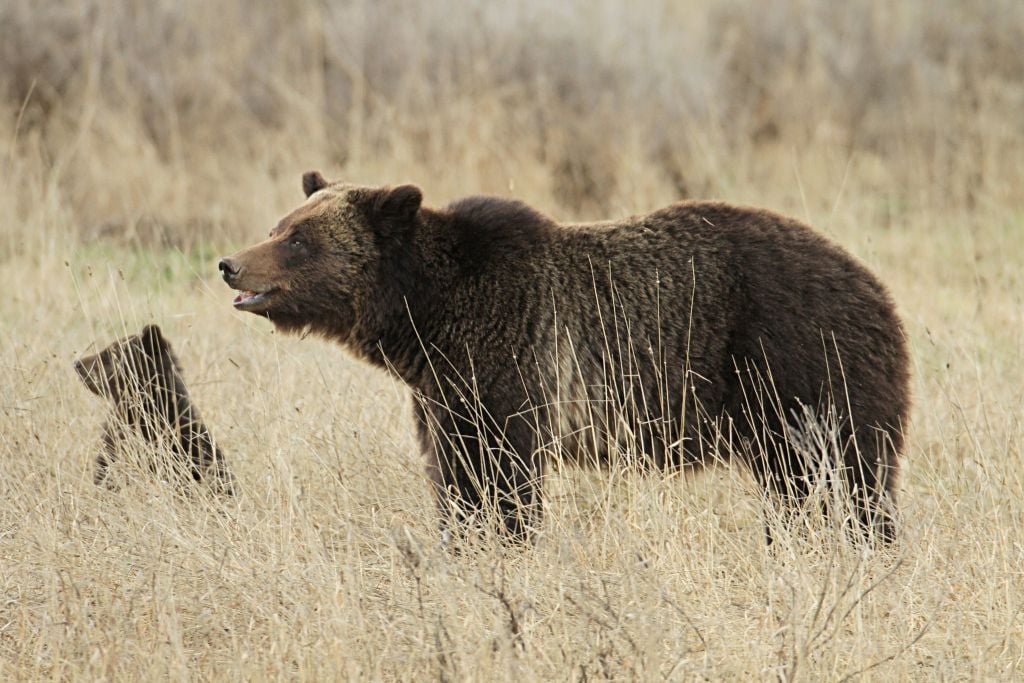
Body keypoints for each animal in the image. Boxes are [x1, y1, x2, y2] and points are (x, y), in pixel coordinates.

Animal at [220, 175, 909, 544]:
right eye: (280, 225)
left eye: (298, 240)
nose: (230, 263)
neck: (428, 317)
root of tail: (874, 285)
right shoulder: (444, 391)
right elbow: (455, 475)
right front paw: (463, 541)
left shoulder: (511, 362)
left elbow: (503, 476)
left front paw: (505, 541)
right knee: (799, 486)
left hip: (799, 364)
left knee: (849, 476)